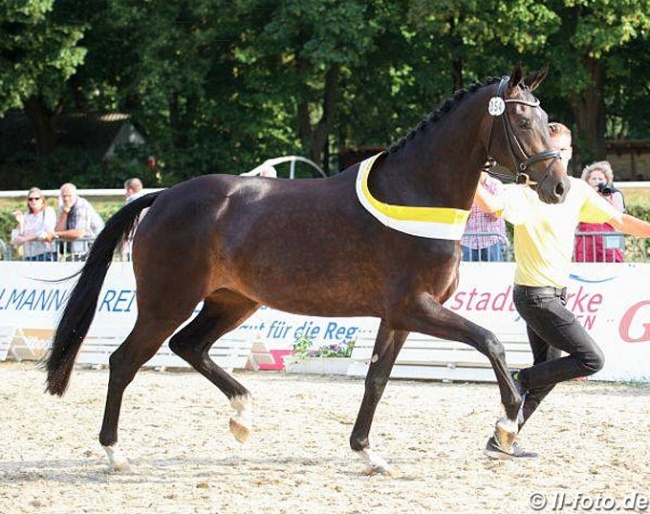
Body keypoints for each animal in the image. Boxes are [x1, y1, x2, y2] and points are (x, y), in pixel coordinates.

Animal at [45, 63, 568, 472]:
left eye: (545, 119)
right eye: (523, 120)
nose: (559, 187)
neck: (417, 193)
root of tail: (162, 196)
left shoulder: (398, 317)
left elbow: (377, 379)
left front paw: (366, 452)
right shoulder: (415, 307)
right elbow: (492, 341)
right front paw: (507, 424)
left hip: (233, 302)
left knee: (188, 346)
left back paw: (242, 415)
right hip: (166, 302)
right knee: (124, 361)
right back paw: (115, 453)